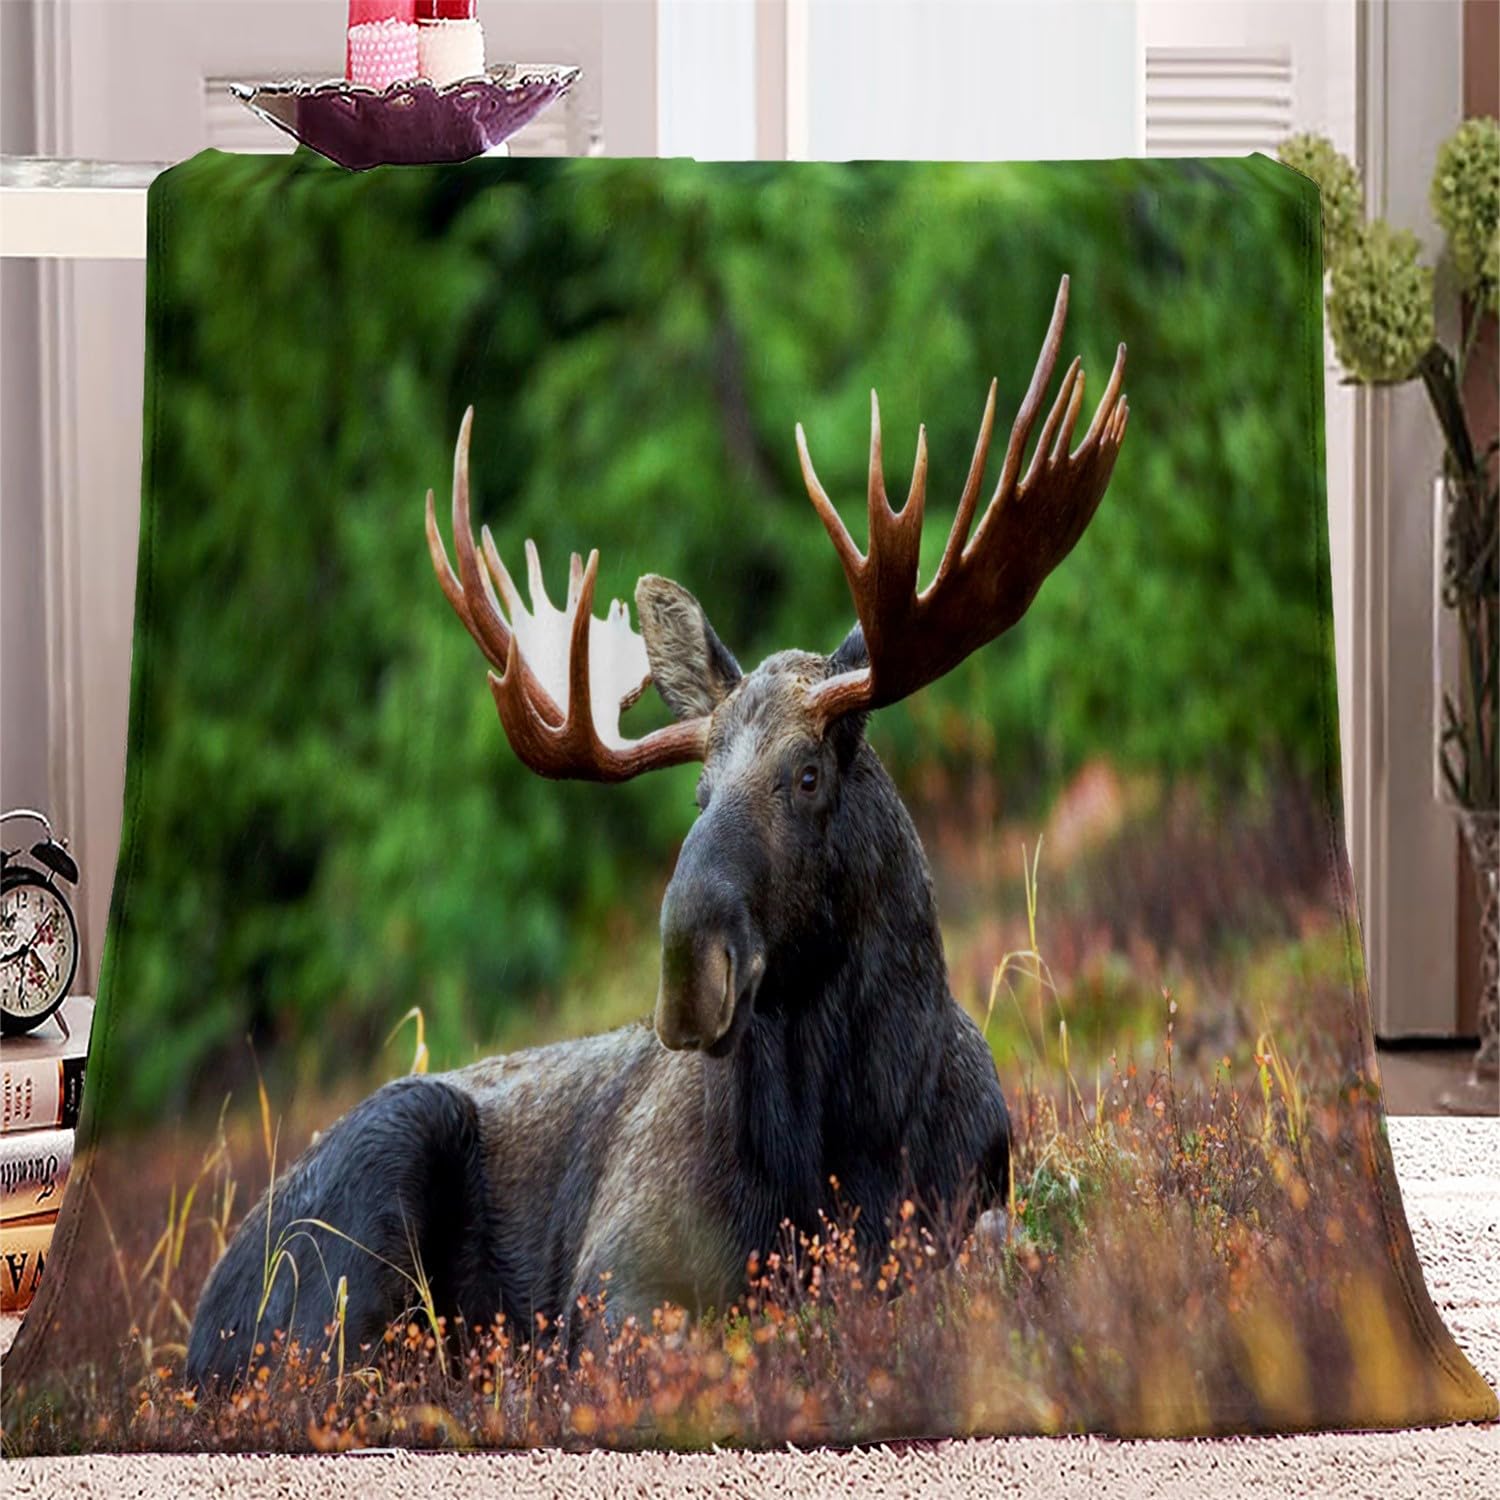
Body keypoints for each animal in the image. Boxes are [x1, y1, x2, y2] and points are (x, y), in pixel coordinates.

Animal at [186, 276, 1127, 1389]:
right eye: (697, 794)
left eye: (808, 774)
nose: (690, 966)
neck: (849, 1138)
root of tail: (194, 1332)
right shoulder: (620, 1279)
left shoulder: (974, 1202)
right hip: (375, 1180)